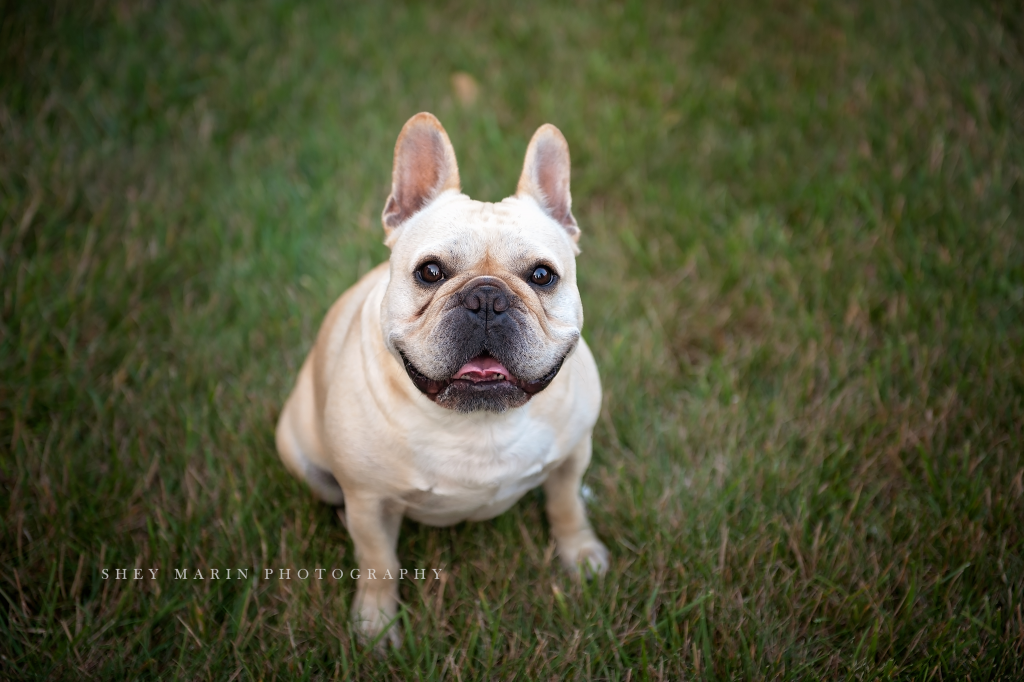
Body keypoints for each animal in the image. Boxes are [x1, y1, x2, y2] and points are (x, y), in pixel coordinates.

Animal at [274, 111, 606, 643]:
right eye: (430, 272)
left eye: (542, 276)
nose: (487, 297)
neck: (479, 423)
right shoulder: (370, 502)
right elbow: (378, 561)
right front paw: (375, 624)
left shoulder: (573, 457)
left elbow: (567, 506)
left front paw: (582, 555)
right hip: (302, 457)